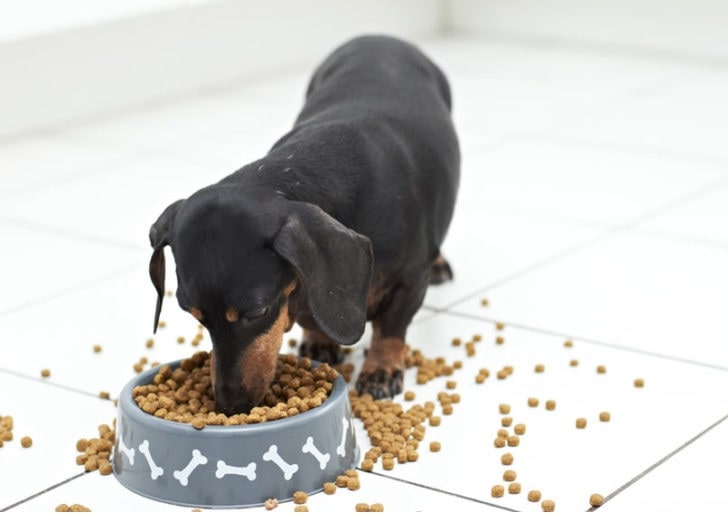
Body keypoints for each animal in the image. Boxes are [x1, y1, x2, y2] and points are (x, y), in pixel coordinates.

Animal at [149, 35, 460, 416]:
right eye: (194, 315)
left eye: (258, 312)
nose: (229, 406)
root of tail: (378, 37)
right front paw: (319, 341)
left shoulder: (410, 280)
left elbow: (391, 327)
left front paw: (381, 370)